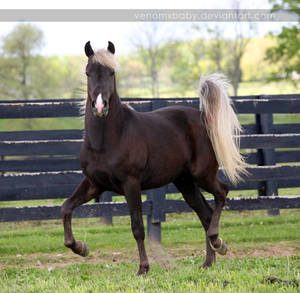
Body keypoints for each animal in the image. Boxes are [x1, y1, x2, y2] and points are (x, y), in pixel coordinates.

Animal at [60, 40, 246, 274]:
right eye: (88, 73)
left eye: (111, 72)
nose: (100, 106)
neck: (108, 140)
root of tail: (202, 116)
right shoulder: (95, 184)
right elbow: (66, 207)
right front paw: (80, 248)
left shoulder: (131, 184)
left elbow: (138, 227)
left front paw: (143, 268)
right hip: (185, 182)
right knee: (205, 213)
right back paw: (208, 260)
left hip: (203, 174)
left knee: (222, 193)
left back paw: (218, 243)